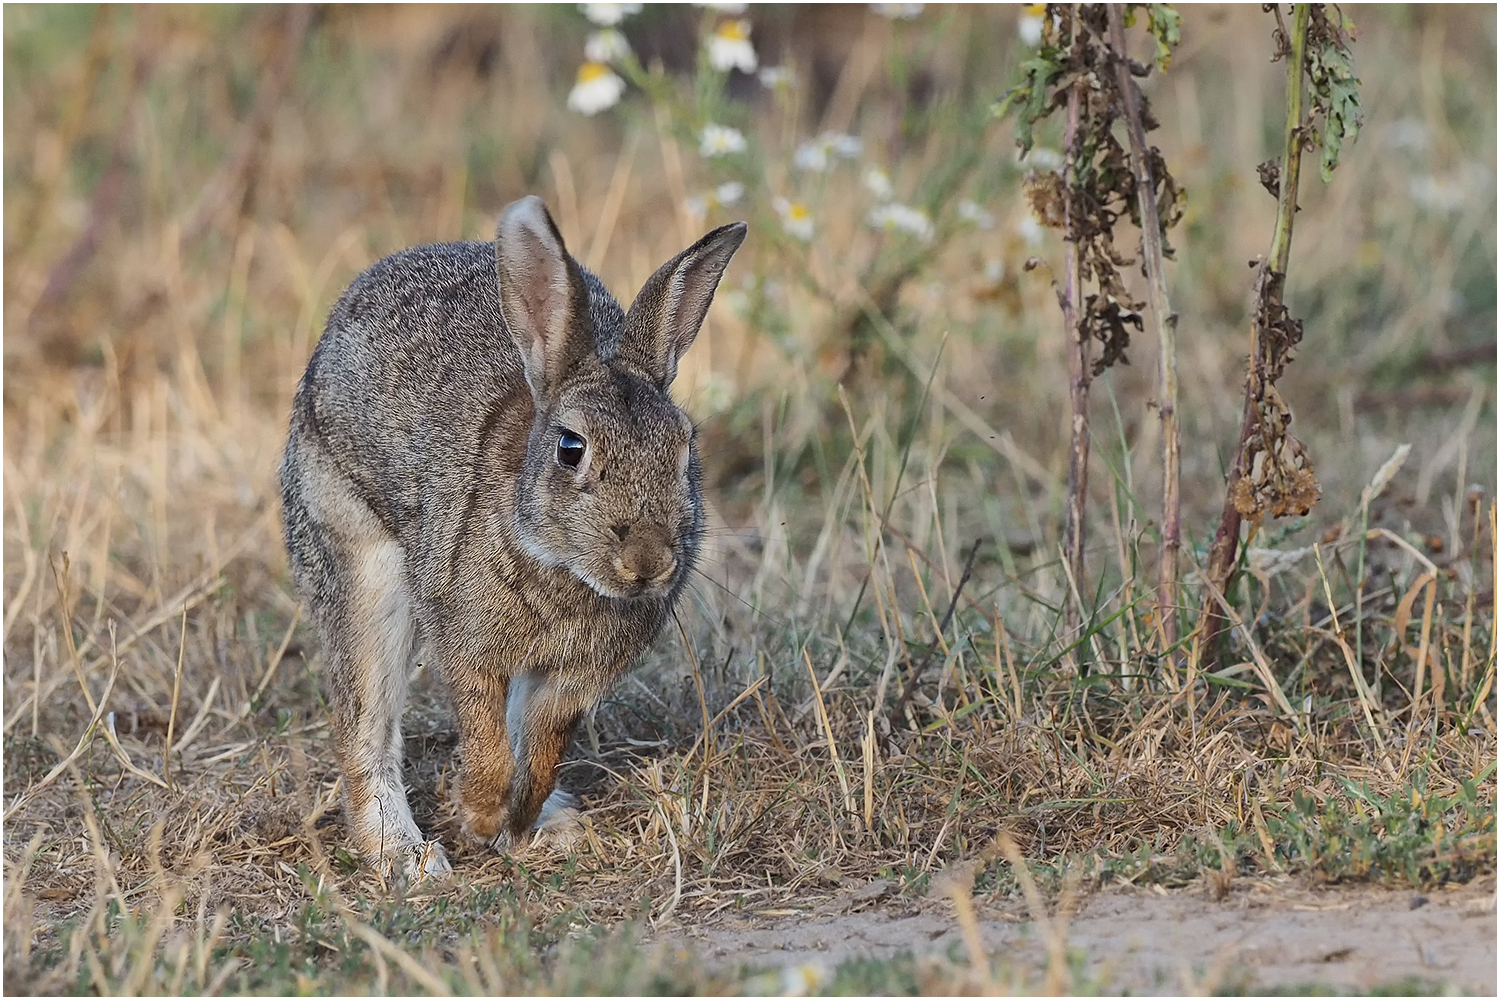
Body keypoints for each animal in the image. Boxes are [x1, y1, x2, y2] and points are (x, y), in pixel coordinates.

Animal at [279, 197, 747, 881]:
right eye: (571, 449)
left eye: (685, 447)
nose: (649, 562)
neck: (563, 569)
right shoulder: (467, 644)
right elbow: (486, 739)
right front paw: (478, 817)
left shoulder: (575, 679)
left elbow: (544, 744)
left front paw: (519, 821)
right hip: (357, 566)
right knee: (364, 724)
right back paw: (406, 858)